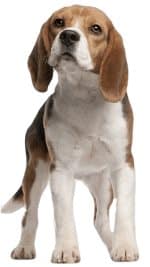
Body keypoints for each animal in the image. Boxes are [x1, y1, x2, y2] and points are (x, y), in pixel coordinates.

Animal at [1, 4, 139, 264]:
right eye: (58, 22)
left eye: (95, 28)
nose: (68, 35)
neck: (84, 95)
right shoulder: (61, 170)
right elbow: (63, 215)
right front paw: (65, 249)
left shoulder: (123, 164)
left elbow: (125, 210)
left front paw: (124, 246)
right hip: (35, 172)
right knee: (30, 215)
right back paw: (24, 247)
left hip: (104, 184)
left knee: (100, 219)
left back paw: (111, 242)